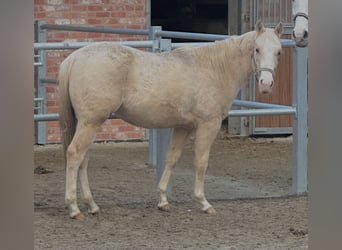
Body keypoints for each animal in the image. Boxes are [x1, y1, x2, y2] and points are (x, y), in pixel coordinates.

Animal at [58, 20, 284, 220]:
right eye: (257, 49)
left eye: (279, 51)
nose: (266, 84)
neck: (214, 69)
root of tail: (75, 58)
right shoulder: (208, 125)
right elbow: (201, 162)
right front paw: (203, 202)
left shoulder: (182, 127)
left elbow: (172, 158)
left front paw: (163, 200)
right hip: (91, 122)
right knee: (75, 154)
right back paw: (74, 209)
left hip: (88, 123)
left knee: (83, 159)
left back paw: (92, 205)